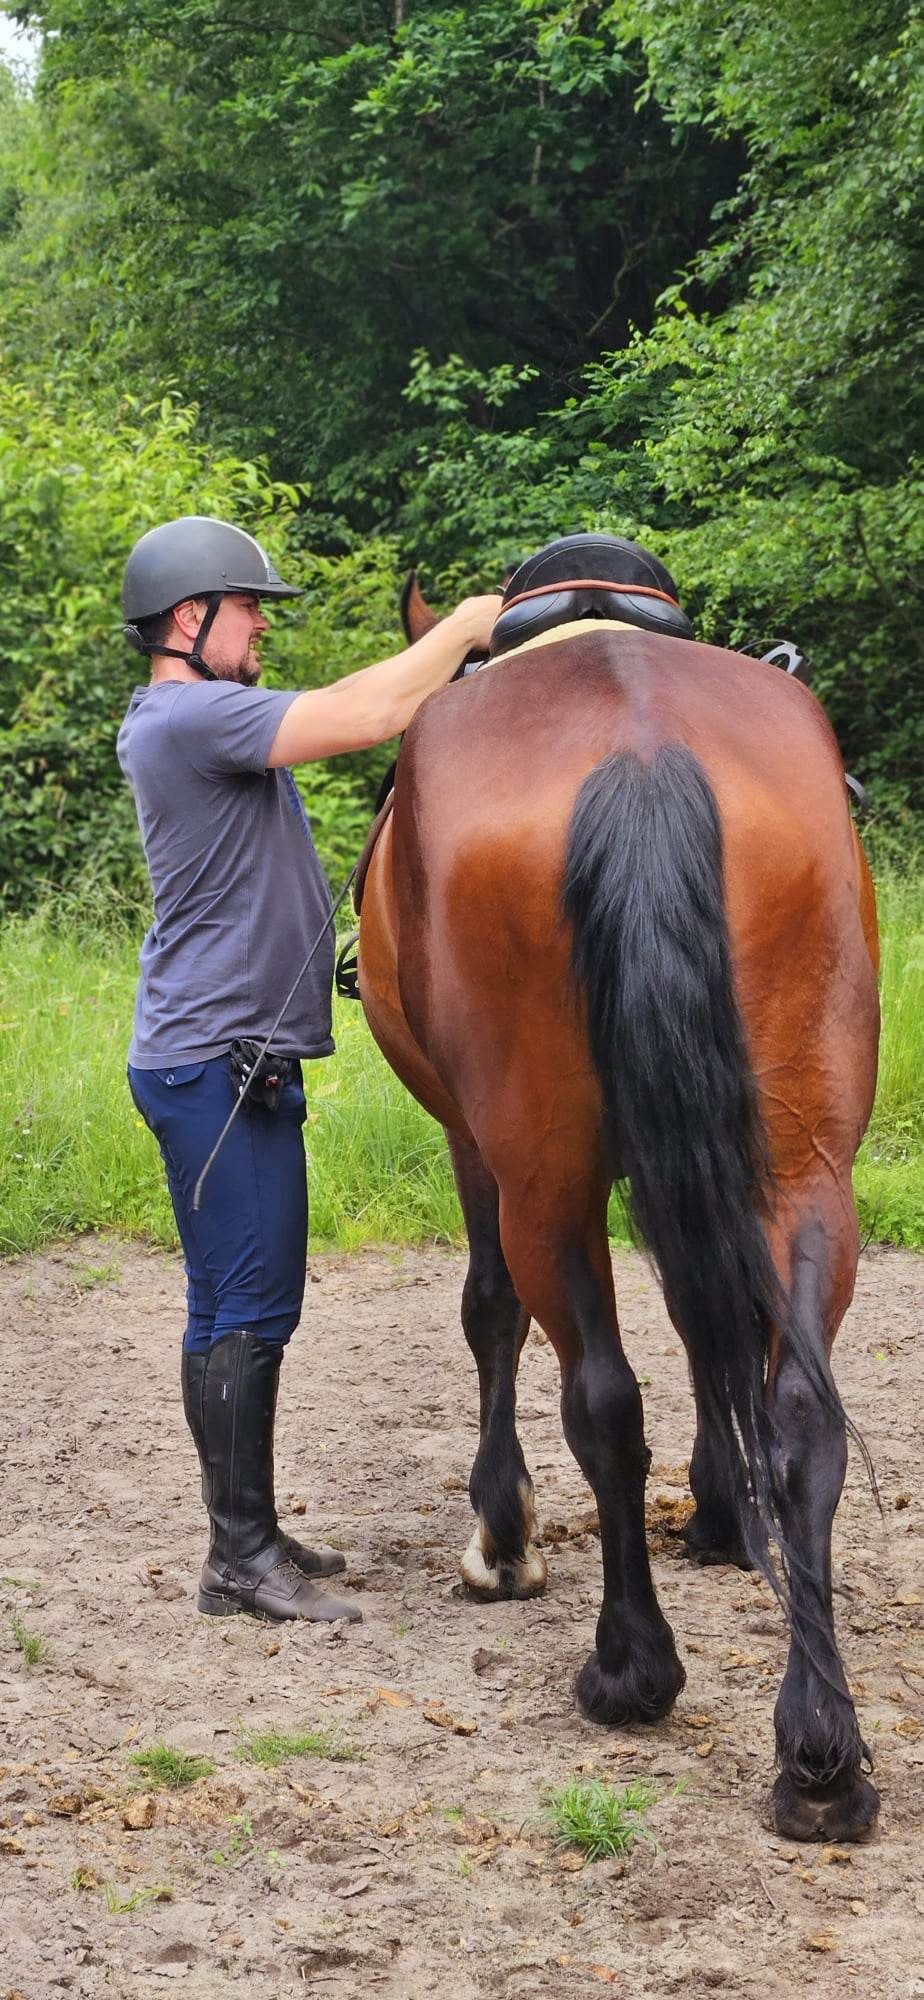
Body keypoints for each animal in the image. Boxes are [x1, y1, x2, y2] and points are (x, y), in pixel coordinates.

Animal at [354, 536, 880, 1840]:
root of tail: (637, 750)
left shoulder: (473, 1141)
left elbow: (489, 1311)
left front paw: (501, 1533)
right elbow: (714, 1328)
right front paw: (728, 1513)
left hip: (539, 1171)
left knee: (600, 1392)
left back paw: (630, 1666)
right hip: (805, 1163)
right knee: (802, 1407)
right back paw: (821, 1754)